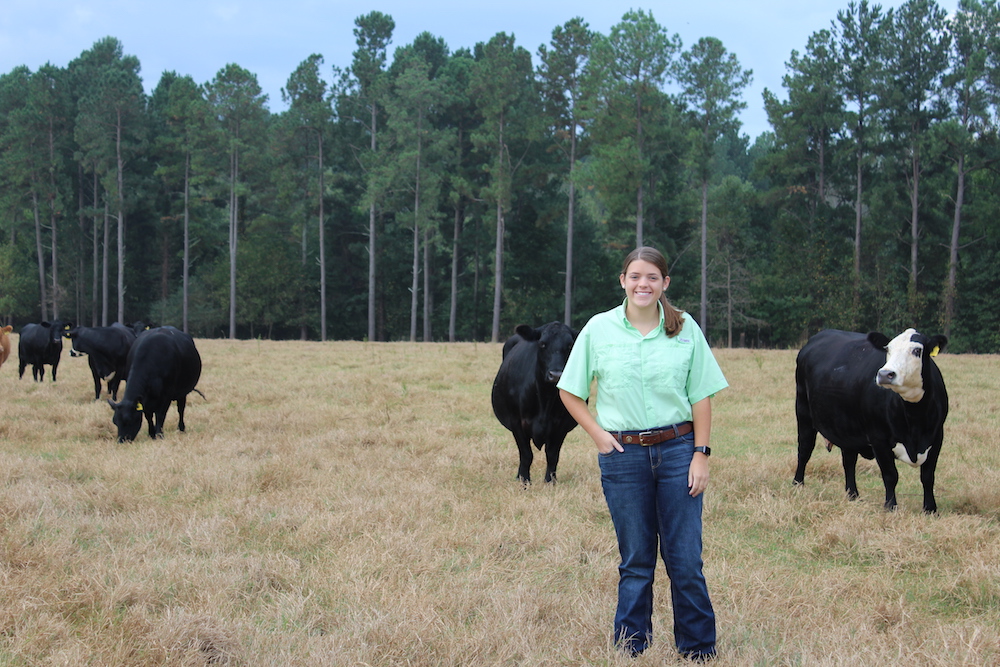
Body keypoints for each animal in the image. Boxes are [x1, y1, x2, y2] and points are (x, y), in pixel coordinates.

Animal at [492, 320, 580, 482]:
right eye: (542, 344)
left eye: (570, 345)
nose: (556, 374)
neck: (545, 398)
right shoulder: (516, 421)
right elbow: (526, 455)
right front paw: (524, 481)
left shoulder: (562, 425)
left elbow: (552, 455)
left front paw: (550, 482)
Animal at [792, 328, 948, 512]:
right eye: (888, 349)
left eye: (917, 350)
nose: (885, 374)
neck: (915, 417)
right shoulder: (878, 438)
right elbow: (890, 475)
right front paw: (890, 506)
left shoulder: (937, 436)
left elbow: (928, 476)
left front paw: (930, 509)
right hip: (803, 413)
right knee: (804, 450)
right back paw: (798, 484)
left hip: (846, 428)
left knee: (849, 461)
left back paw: (853, 495)